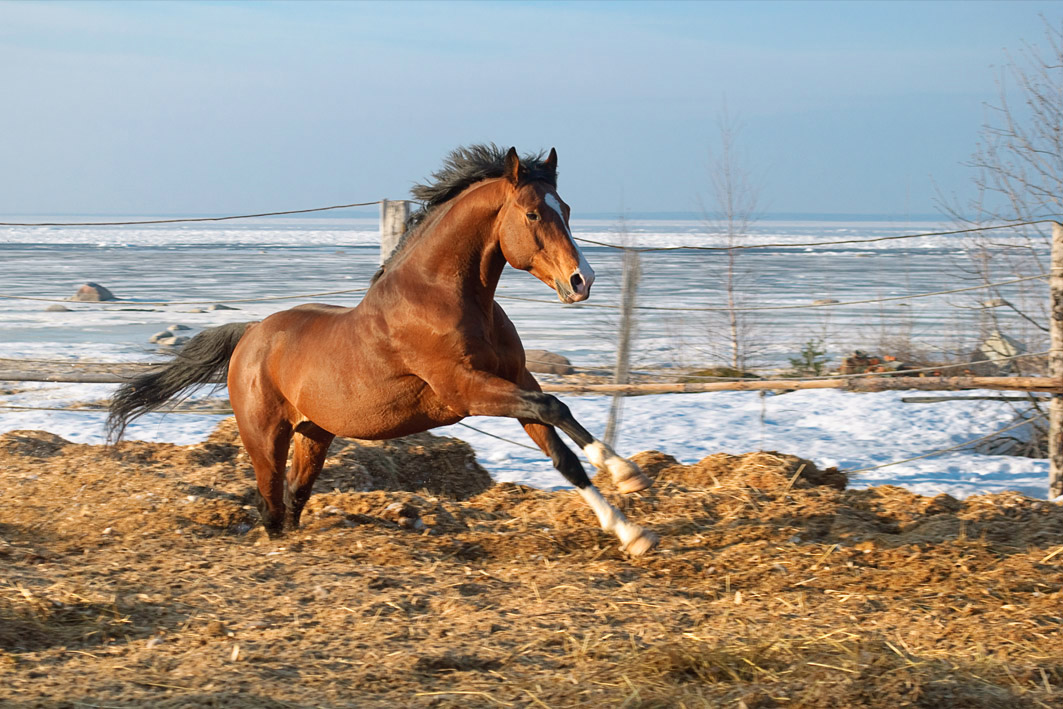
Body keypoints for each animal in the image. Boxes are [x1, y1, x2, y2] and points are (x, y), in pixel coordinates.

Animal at [105, 144, 654, 552]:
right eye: (534, 213)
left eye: (568, 210)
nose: (582, 281)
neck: (446, 297)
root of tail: (252, 333)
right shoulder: (466, 391)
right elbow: (554, 406)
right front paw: (630, 477)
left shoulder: (515, 378)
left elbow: (562, 449)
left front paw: (631, 526)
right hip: (265, 439)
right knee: (271, 506)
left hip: (314, 436)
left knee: (293, 500)